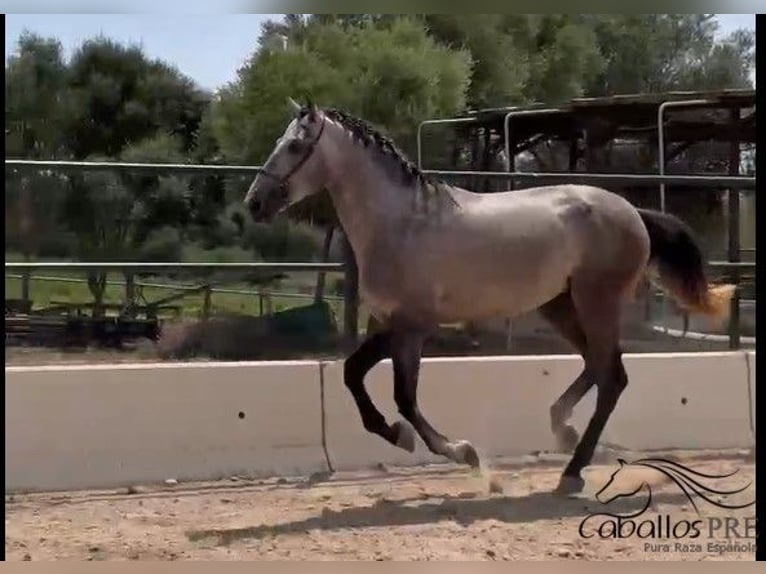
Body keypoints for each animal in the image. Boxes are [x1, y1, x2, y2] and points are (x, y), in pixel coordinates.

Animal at [243, 98, 735, 495]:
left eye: (294, 146)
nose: (254, 203)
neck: (403, 222)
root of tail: (633, 212)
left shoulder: (415, 327)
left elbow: (405, 398)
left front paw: (463, 453)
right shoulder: (391, 324)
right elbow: (353, 374)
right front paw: (396, 434)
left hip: (597, 301)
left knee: (612, 377)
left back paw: (571, 472)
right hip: (559, 305)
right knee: (599, 366)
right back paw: (563, 431)